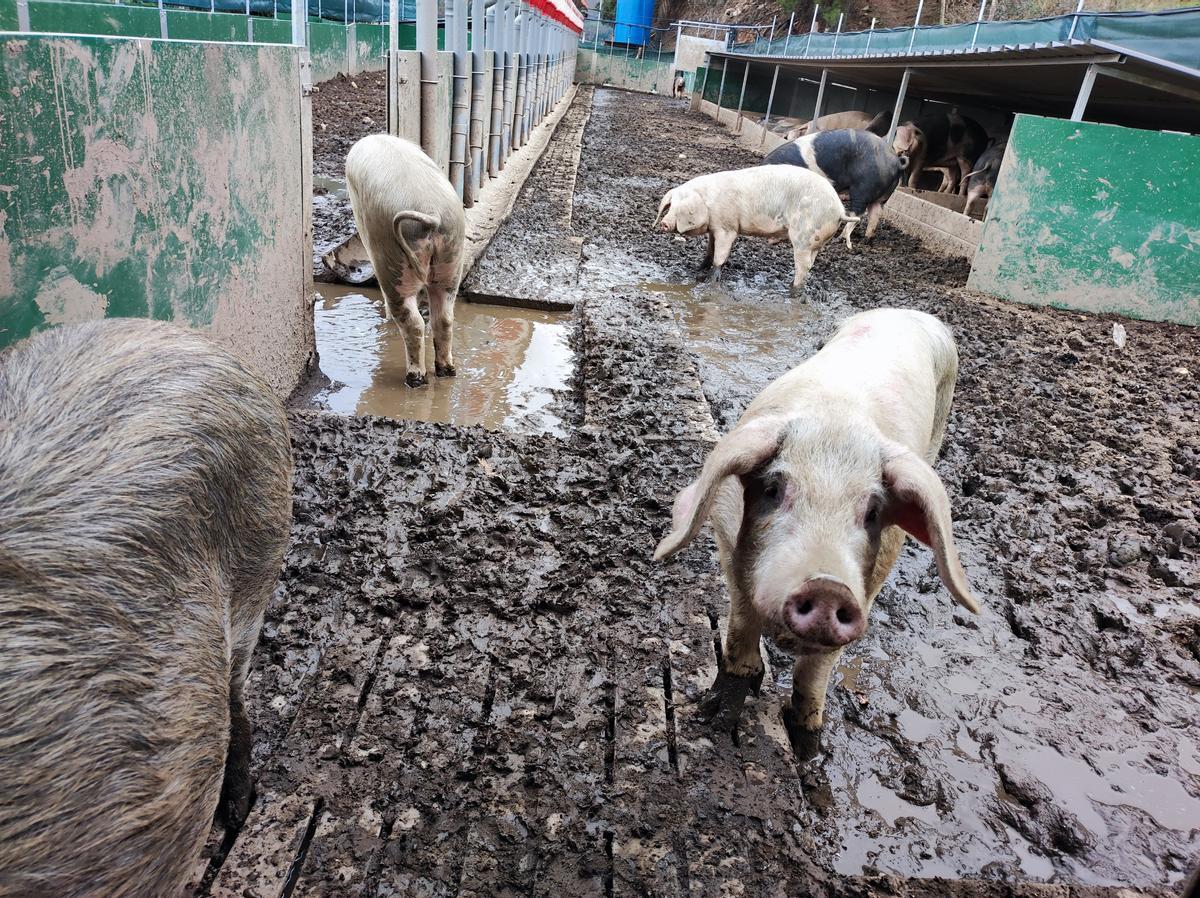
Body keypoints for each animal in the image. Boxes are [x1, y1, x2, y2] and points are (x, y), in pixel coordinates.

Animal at [345, 133, 465, 386]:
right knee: (444, 318)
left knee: (412, 322)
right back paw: (447, 371)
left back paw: (415, 380)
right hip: (452, 259)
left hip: (390, 259)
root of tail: (431, 213)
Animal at [652, 164, 859, 291]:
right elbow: (709, 251)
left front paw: (712, 281)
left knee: (803, 266)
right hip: (816, 243)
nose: (663, 223)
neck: (710, 202)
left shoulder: (727, 227)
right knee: (811, 265)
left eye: (680, 208)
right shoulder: (715, 227)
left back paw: (791, 289)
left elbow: (720, 256)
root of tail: (839, 209)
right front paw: (697, 268)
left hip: (803, 237)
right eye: (670, 206)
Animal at [652, 309, 979, 749]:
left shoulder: (871, 583)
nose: (827, 586)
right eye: (773, 489)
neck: (834, 419)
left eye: (872, 512)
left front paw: (808, 744)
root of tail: (907, 312)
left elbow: (817, 668)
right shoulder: (726, 535)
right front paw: (713, 719)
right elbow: (741, 626)